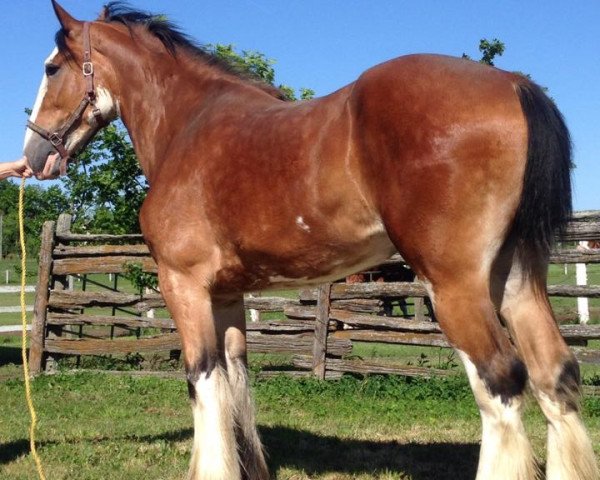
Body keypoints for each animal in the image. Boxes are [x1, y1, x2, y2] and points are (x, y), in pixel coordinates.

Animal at [21, 1, 596, 478]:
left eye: (51, 68)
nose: (33, 155)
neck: (189, 126)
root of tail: (514, 84)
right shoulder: (226, 295)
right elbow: (236, 382)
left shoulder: (182, 285)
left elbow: (203, 380)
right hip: (516, 281)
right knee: (555, 377)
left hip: (454, 287)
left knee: (501, 386)